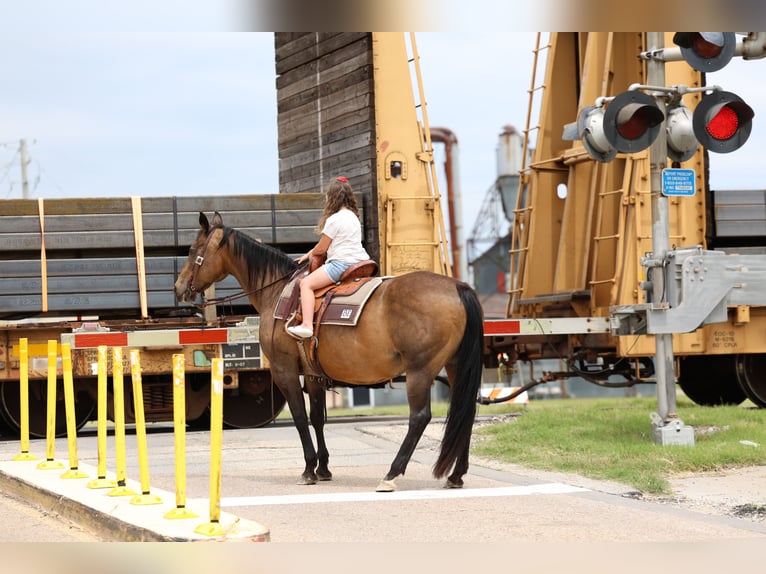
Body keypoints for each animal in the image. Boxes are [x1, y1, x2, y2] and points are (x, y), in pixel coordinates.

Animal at [174, 211, 484, 491]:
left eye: (192, 250)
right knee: (466, 411)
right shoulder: (312, 374)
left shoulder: (284, 370)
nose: (178, 288)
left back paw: (392, 474)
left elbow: (300, 418)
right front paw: (323, 468)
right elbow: (316, 417)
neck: (278, 291)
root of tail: (459, 287)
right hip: (455, 366)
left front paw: (309, 469)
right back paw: (457, 475)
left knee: (419, 417)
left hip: (419, 371)